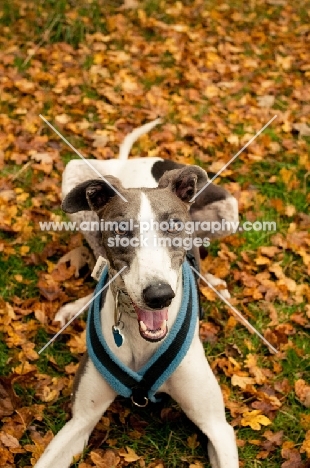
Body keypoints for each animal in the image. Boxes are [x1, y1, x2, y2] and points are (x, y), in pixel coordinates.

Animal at [35, 120, 240, 468]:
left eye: (173, 226)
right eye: (121, 230)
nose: (159, 296)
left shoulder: (218, 426)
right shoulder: (80, 420)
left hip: (228, 208)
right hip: (74, 174)